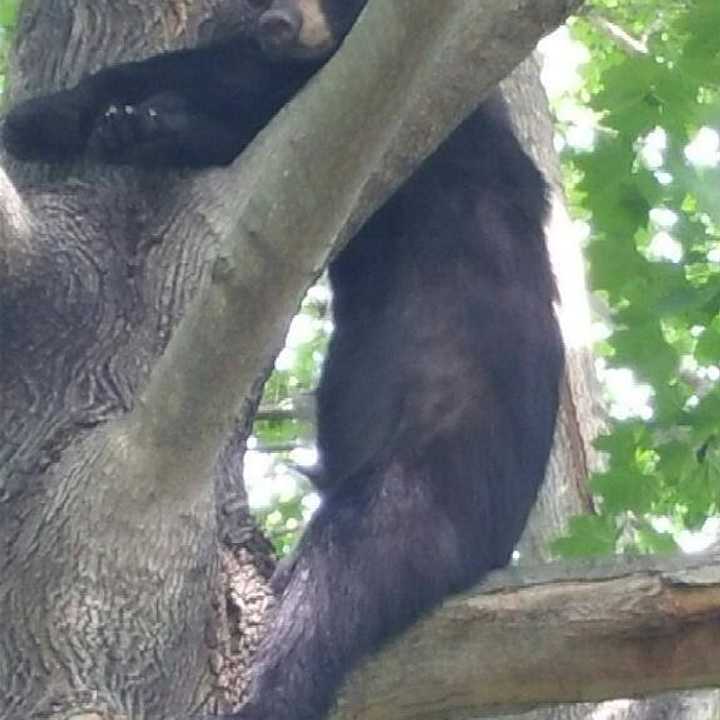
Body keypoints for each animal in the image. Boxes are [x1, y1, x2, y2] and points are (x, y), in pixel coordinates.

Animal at [4, 1, 568, 720]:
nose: (279, 22)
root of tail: (498, 548)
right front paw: (110, 121)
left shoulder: (409, 107)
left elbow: (252, 91)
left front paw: (84, 117)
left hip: (424, 483)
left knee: (339, 584)